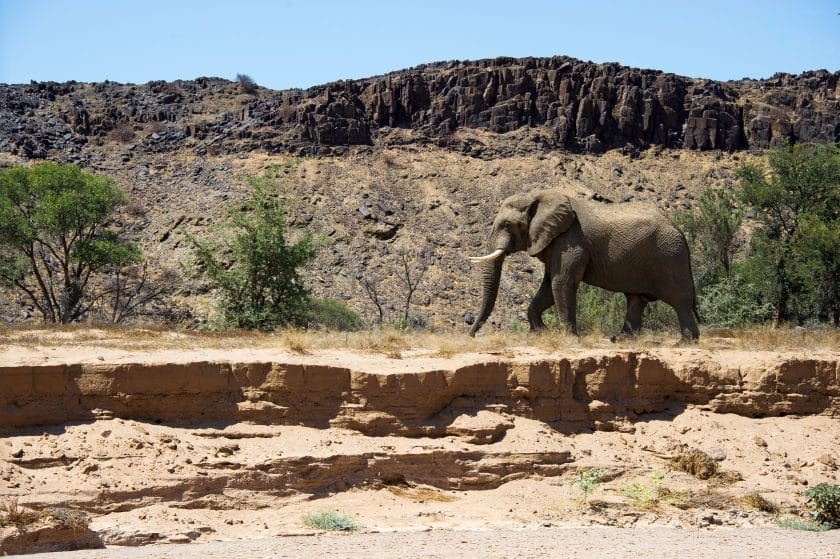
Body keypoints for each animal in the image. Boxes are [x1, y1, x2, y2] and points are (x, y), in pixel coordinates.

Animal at [470, 190, 700, 342]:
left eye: (507, 225)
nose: (472, 335)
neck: (539, 197)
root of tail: (678, 229)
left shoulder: (571, 240)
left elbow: (561, 283)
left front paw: (569, 339)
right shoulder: (556, 242)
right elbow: (549, 286)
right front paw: (540, 333)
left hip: (670, 257)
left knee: (679, 300)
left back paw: (686, 342)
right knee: (636, 300)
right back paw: (620, 340)